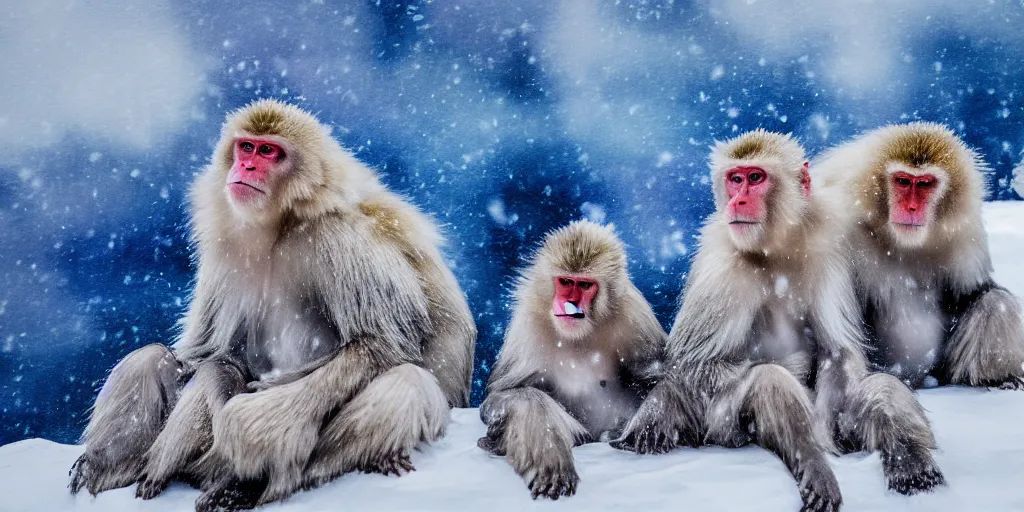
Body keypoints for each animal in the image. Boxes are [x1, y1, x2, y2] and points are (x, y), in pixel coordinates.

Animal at [68, 97, 475, 509]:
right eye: (247, 147)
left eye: (269, 152)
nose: (246, 166)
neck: (286, 219)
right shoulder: (228, 248)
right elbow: (210, 352)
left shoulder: (338, 235)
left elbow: (386, 340)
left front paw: (250, 426)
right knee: (168, 360)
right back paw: (112, 469)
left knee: (407, 380)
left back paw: (246, 484)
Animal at [477, 220, 663, 499]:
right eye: (565, 281)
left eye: (585, 285)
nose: (570, 302)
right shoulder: (528, 326)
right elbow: (507, 393)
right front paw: (551, 459)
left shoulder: (636, 318)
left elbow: (656, 377)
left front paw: (647, 425)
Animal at [614, 130, 942, 509]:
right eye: (735, 178)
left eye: (756, 177)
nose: (738, 200)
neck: (777, 244)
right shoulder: (726, 267)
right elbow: (692, 365)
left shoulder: (829, 247)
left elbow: (839, 352)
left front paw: (831, 430)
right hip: (720, 426)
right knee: (766, 380)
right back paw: (812, 461)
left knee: (878, 388)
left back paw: (909, 463)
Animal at [811, 121, 1024, 389]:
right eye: (902, 181)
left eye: (924, 184)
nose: (911, 208)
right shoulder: (838, 227)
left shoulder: (967, 234)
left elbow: (972, 292)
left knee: (994, 301)